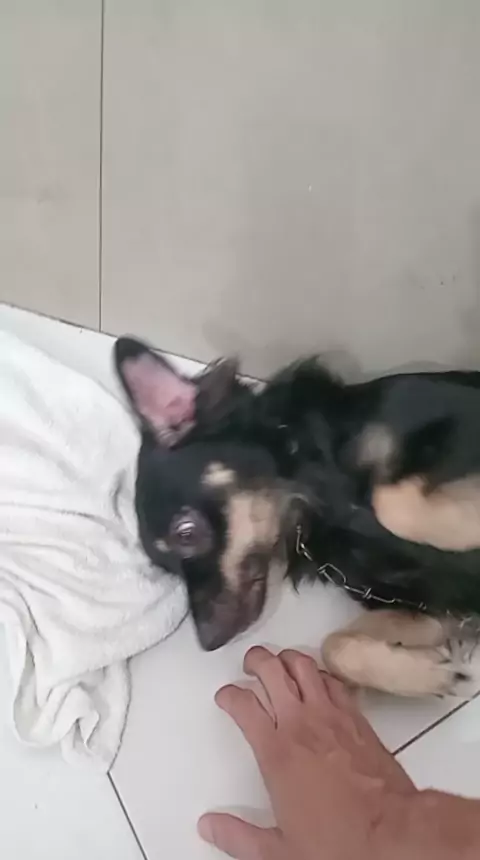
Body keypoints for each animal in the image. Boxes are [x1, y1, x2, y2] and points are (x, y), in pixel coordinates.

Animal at [115, 337, 480, 697]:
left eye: (185, 533)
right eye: (168, 568)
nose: (209, 642)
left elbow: (391, 504)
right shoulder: (437, 607)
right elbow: (335, 646)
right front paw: (424, 673)